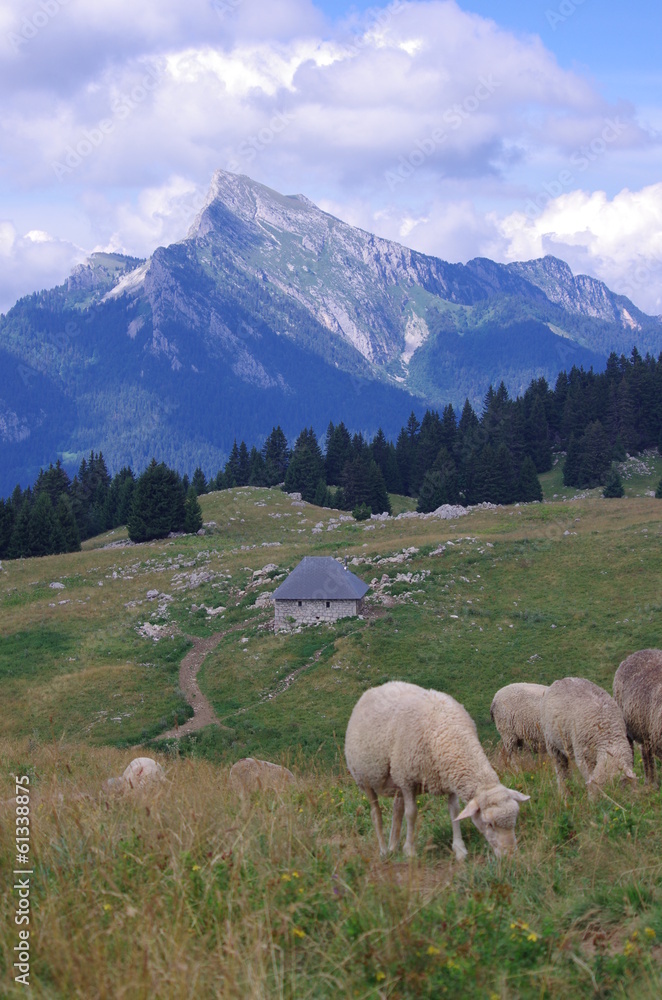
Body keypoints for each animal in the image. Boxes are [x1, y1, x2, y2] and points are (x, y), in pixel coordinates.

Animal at [344, 681, 530, 860]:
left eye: (514, 820)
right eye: (489, 824)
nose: (510, 856)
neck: (446, 732)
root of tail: (373, 690)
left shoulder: (449, 777)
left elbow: (454, 811)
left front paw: (459, 849)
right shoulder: (407, 780)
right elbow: (411, 813)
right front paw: (410, 851)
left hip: (396, 782)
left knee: (397, 810)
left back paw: (393, 847)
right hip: (367, 779)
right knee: (376, 814)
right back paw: (384, 851)